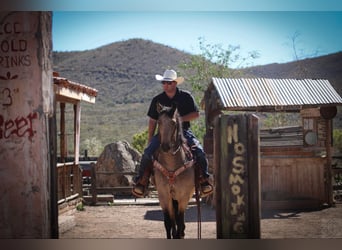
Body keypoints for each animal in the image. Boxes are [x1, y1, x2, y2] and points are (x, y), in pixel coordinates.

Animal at [152, 104, 195, 239]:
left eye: (173, 123)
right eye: (159, 122)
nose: (165, 146)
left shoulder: (183, 196)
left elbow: (180, 220)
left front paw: (180, 234)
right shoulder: (163, 196)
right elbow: (168, 222)